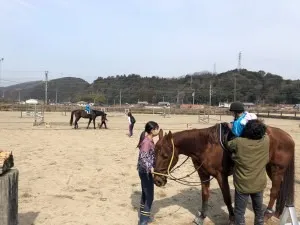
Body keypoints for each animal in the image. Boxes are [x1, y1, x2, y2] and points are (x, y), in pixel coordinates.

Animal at [154, 124, 294, 224]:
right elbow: (205, 195)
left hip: (277, 169)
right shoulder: (203, 174)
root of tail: (288, 136)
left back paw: (266, 215)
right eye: (154, 153)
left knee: (274, 190)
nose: (157, 180)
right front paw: (202, 217)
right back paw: (276, 213)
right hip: (270, 168)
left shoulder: (221, 176)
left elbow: (227, 198)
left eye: (165, 156)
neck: (206, 146)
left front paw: (232, 218)